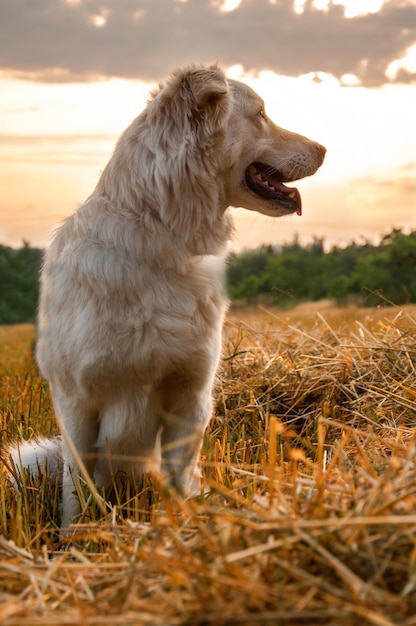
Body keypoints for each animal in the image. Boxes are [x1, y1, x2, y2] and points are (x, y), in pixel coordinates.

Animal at [9, 64, 326, 528]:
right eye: (261, 114)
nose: (324, 149)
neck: (159, 232)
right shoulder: (76, 403)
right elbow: (77, 494)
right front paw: (77, 537)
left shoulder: (190, 394)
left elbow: (179, 480)